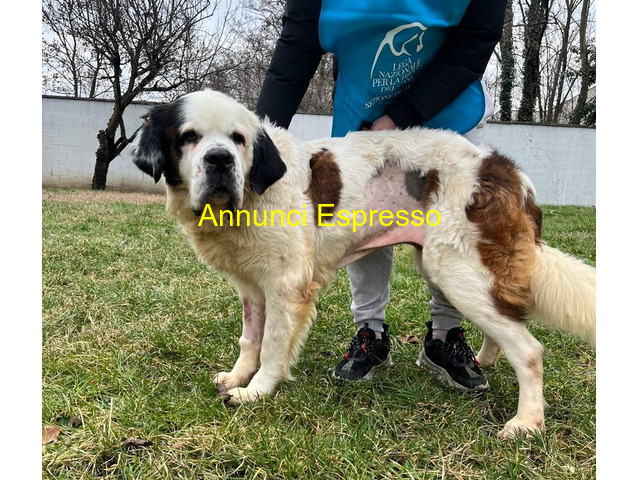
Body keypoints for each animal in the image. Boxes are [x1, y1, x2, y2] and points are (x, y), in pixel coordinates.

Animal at [132, 90, 596, 439]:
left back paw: (526, 422)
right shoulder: (252, 286)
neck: (251, 195)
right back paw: (483, 361)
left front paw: (258, 391)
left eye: (237, 139)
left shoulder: (286, 286)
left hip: (455, 269)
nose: (219, 160)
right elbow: (251, 338)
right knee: (506, 324)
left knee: (530, 350)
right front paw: (237, 376)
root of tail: (507, 170)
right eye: (189, 137)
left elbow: (273, 345)